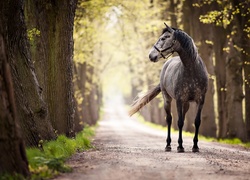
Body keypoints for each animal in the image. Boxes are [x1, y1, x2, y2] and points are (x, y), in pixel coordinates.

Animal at [130, 22, 208, 152]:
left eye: (163, 38)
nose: (151, 56)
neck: (192, 71)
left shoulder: (200, 100)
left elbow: (197, 122)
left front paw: (195, 146)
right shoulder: (179, 100)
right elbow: (179, 122)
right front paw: (180, 146)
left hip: (186, 103)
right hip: (167, 99)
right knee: (169, 119)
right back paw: (168, 145)